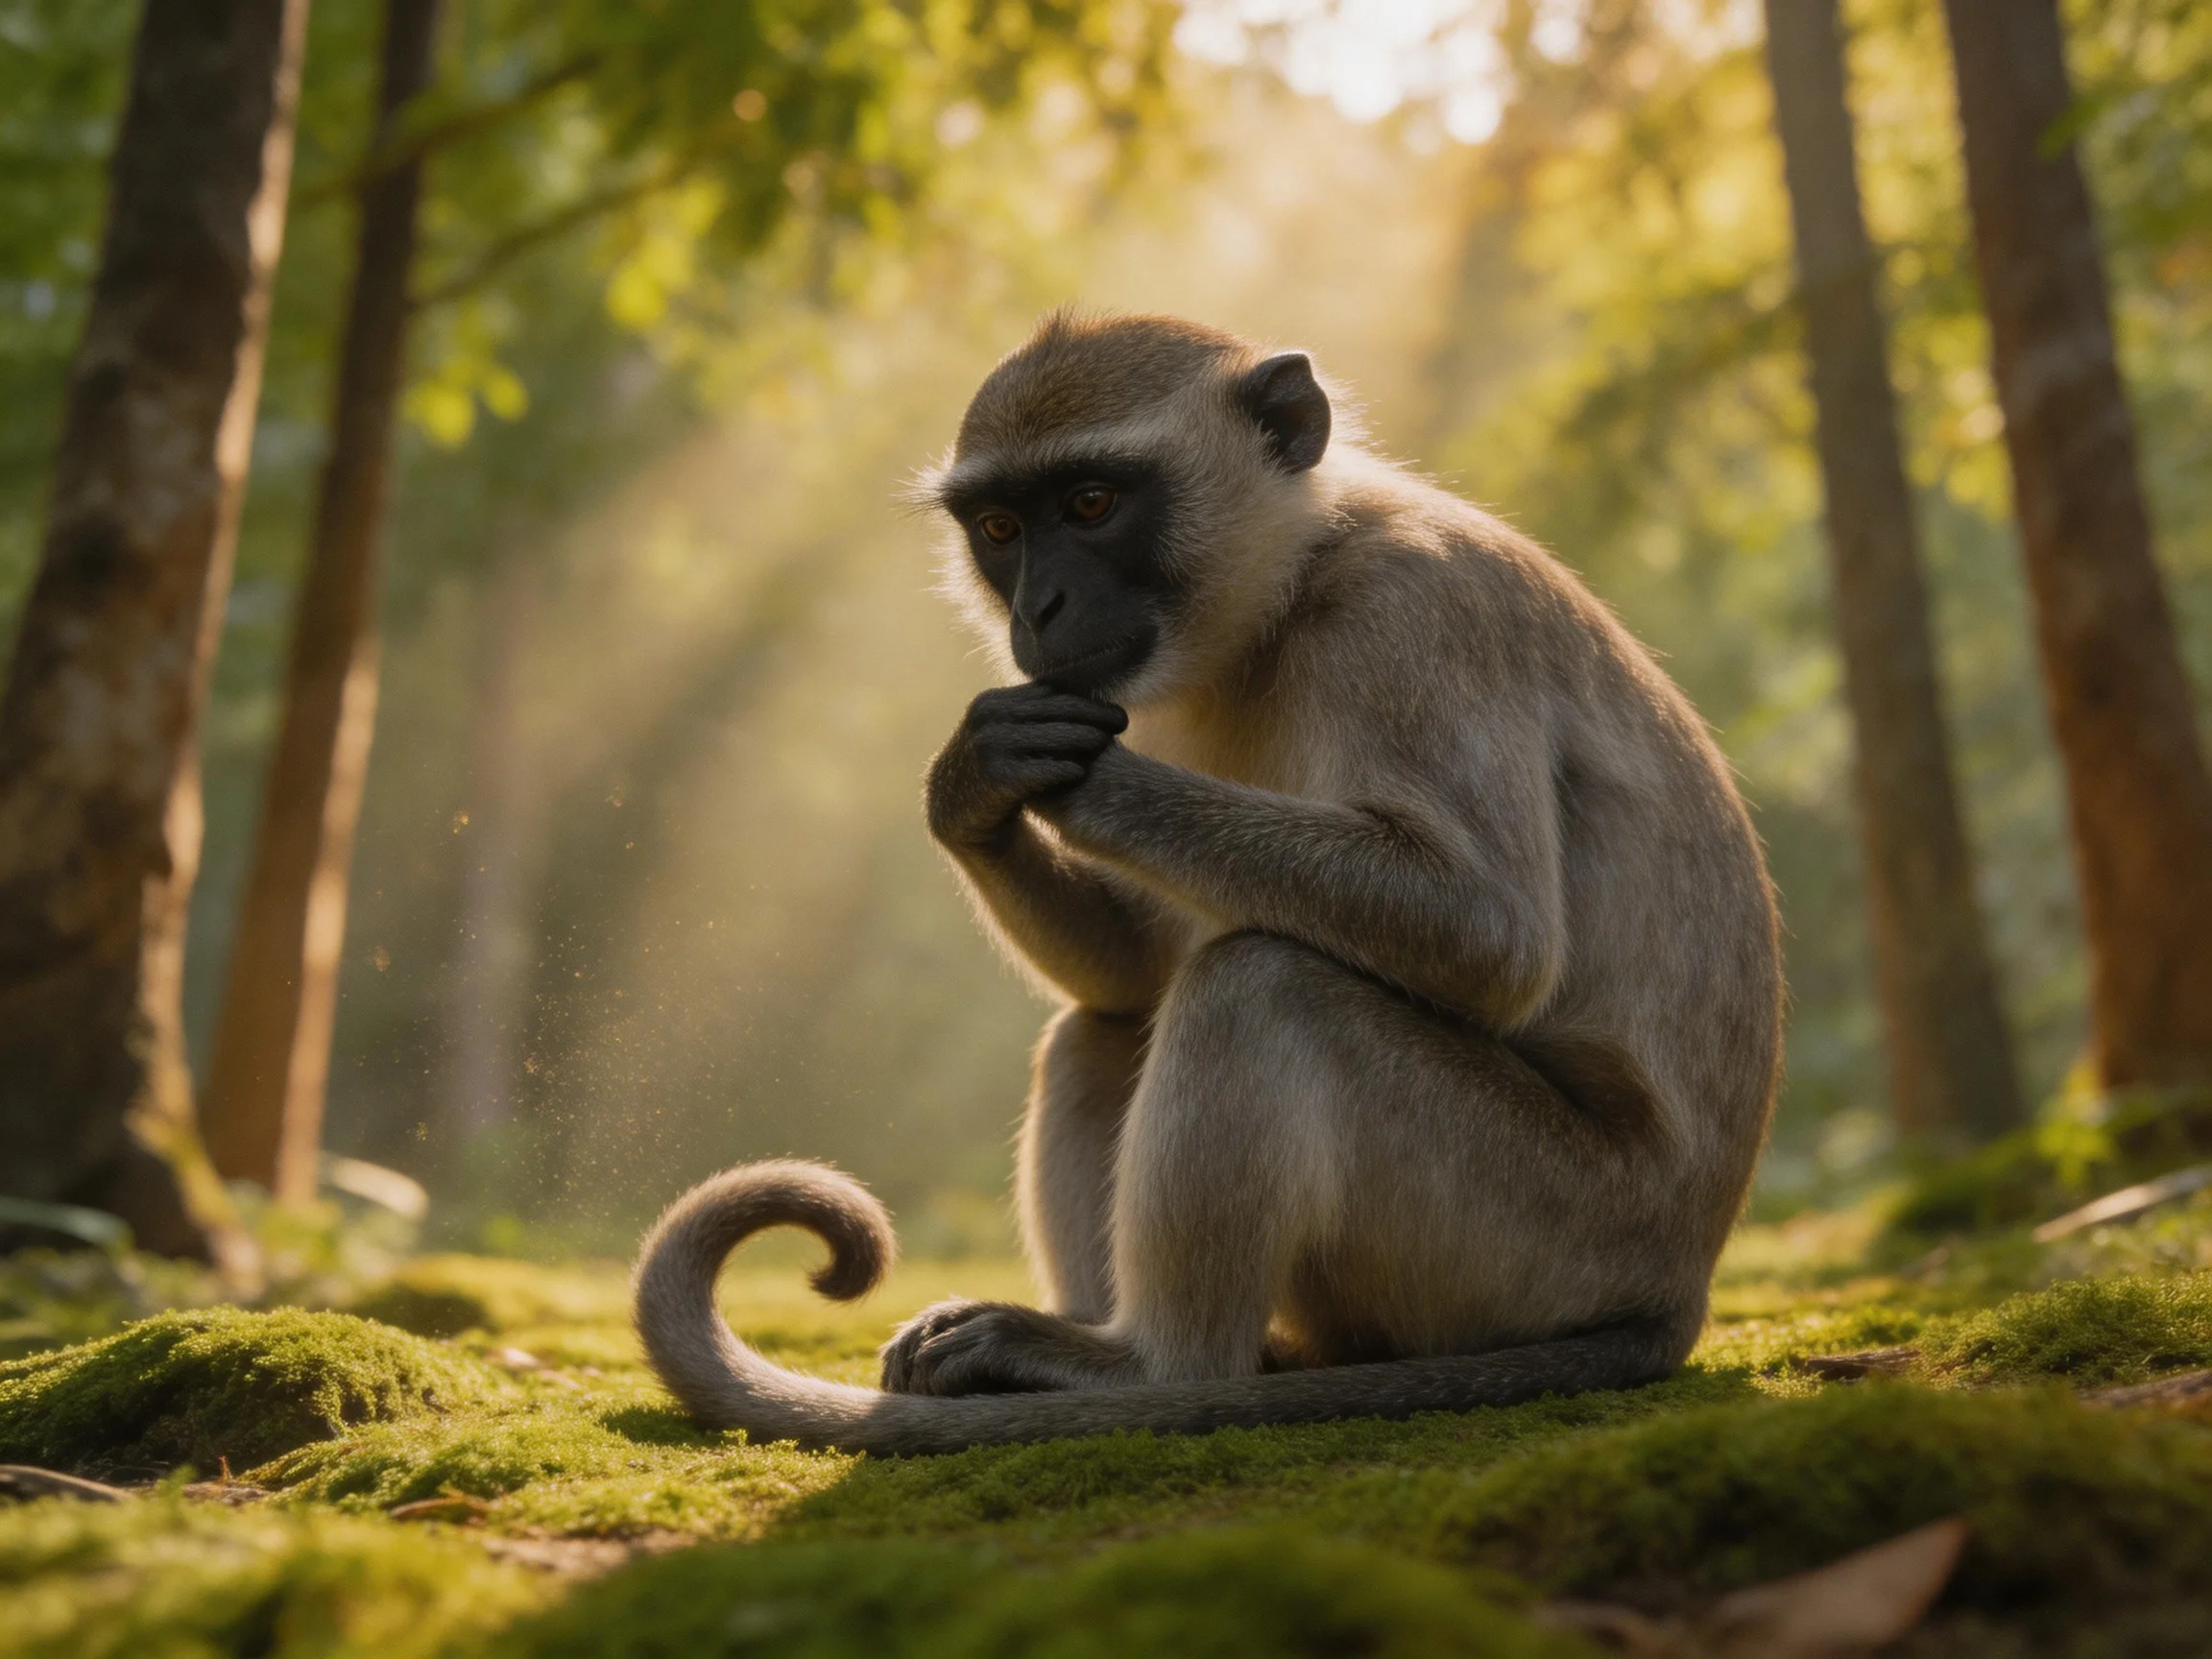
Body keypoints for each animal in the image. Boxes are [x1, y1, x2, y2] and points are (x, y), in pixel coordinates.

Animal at [632, 311, 1783, 1456]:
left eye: (1091, 505)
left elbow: (1490, 939)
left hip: (1539, 1236)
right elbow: (1134, 974)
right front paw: (973, 785)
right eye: (1002, 528)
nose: (1039, 606)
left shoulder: (1414, 609)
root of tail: (1676, 1281)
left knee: (1260, 983)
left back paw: (1146, 1365)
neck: (1298, 588)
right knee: (1106, 1024)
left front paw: (1094, 788)